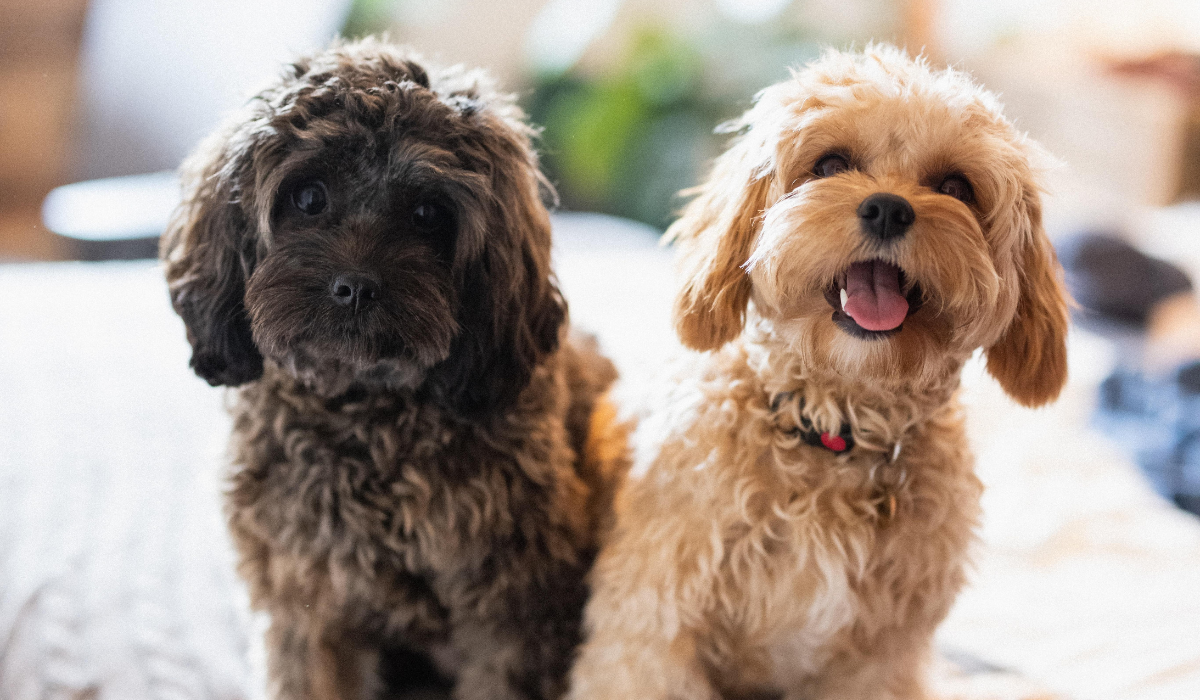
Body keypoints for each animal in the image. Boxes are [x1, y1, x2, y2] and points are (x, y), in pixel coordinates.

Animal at [162, 36, 628, 700]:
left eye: (428, 213)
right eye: (308, 197)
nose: (356, 287)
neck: (364, 415)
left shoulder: (511, 617)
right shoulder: (307, 609)